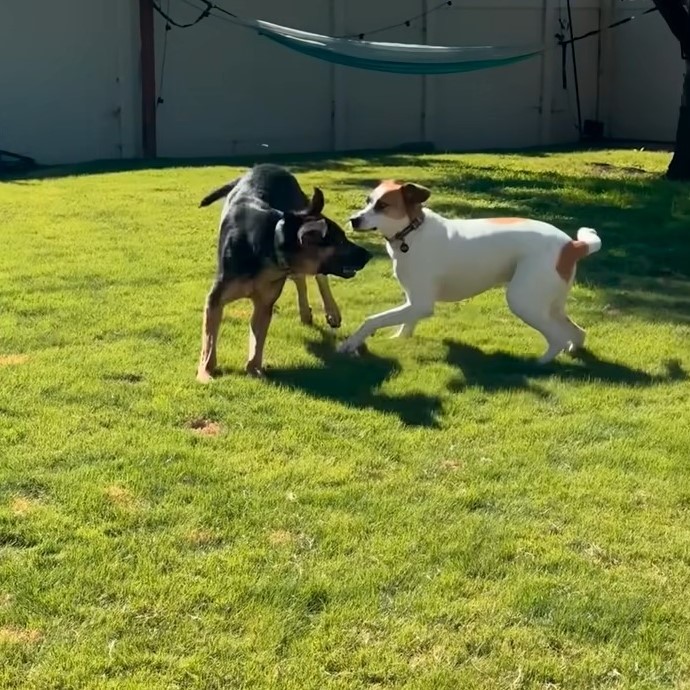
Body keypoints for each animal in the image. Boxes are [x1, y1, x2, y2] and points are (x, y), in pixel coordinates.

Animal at [196, 165, 368, 382]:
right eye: (341, 241)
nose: (368, 254)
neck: (270, 242)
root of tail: (265, 166)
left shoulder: (264, 303)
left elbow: (258, 341)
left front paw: (254, 369)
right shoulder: (216, 300)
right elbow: (209, 342)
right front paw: (205, 372)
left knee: (319, 277)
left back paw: (331, 312)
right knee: (301, 278)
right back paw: (305, 312)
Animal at [342, 180, 600, 362]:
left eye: (382, 205)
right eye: (367, 201)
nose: (353, 220)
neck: (412, 232)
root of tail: (571, 245)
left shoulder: (421, 304)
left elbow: (372, 320)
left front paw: (350, 344)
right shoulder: (413, 302)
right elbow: (406, 323)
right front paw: (399, 340)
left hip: (523, 301)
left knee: (556, 337)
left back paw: (540, 363)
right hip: (549, 303)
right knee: (576, 331)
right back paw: (573, 348)